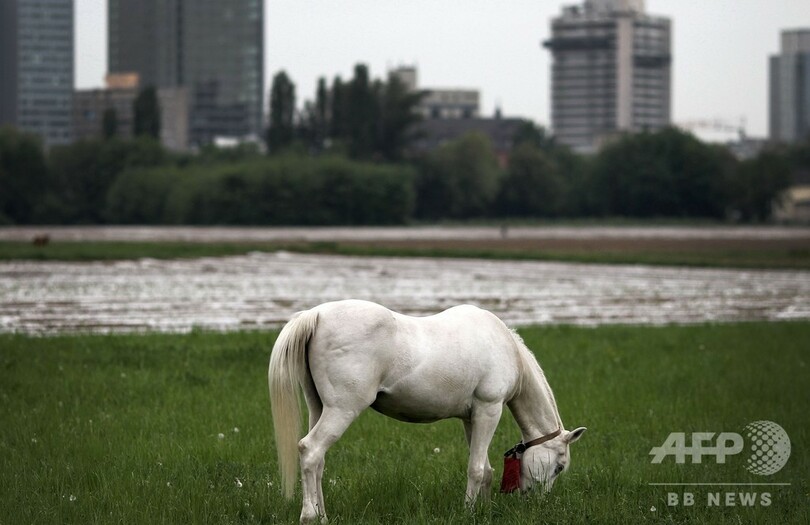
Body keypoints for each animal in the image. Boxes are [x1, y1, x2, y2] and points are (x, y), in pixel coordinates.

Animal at [268, 300, 586, 524]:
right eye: (559, 466)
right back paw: (310, 516)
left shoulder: (472, 418)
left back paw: (323, 515)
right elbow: (476, 468)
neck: (503, 346)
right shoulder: (489, 409)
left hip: (319, 407)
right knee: (310, 450)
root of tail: (316, 315)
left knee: (318, 461)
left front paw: (482, 510)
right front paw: (468, 512)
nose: (539, 504)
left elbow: (485, 469)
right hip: (343, 409)